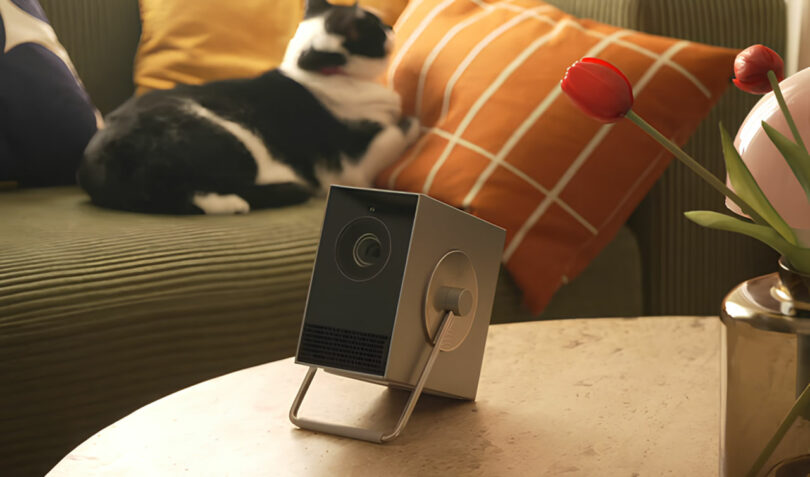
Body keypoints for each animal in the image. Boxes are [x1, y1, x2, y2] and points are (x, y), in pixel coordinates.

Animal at [76, 0, 420, 214]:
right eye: (376, 26)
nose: (392, 28)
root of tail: (93, 164)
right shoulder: (352, 167)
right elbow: (394, 132)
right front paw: (415, 123)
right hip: (230, 144)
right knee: (181, 190)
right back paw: (235, 203)